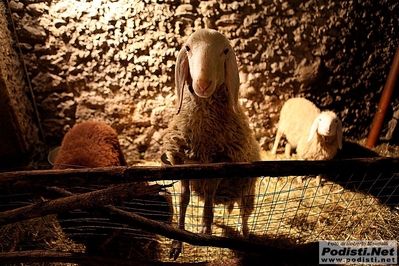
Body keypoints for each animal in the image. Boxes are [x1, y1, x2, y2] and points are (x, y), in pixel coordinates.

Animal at [162, 28, 262, 260]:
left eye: (225, 51)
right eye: (188, 48)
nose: (202, 83)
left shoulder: (220, 160)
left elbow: (209, 193)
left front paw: (205, 229)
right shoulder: (181, 160)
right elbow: (183, 199)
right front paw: (177, 241)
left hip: (247, 188)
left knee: (245, 214)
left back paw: (245, 235)